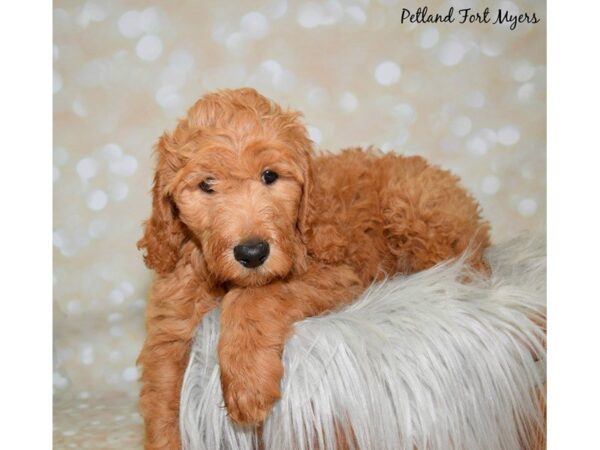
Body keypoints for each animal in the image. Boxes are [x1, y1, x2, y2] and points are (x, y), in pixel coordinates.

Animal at [138, 88, 490, 450]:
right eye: (207, 184)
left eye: (269, 176)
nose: (252, 253)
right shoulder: (170, 328)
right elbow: (162, 402)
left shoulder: (336, 274)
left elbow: (256, 297)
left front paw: (247, 384)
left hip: (412, 207)